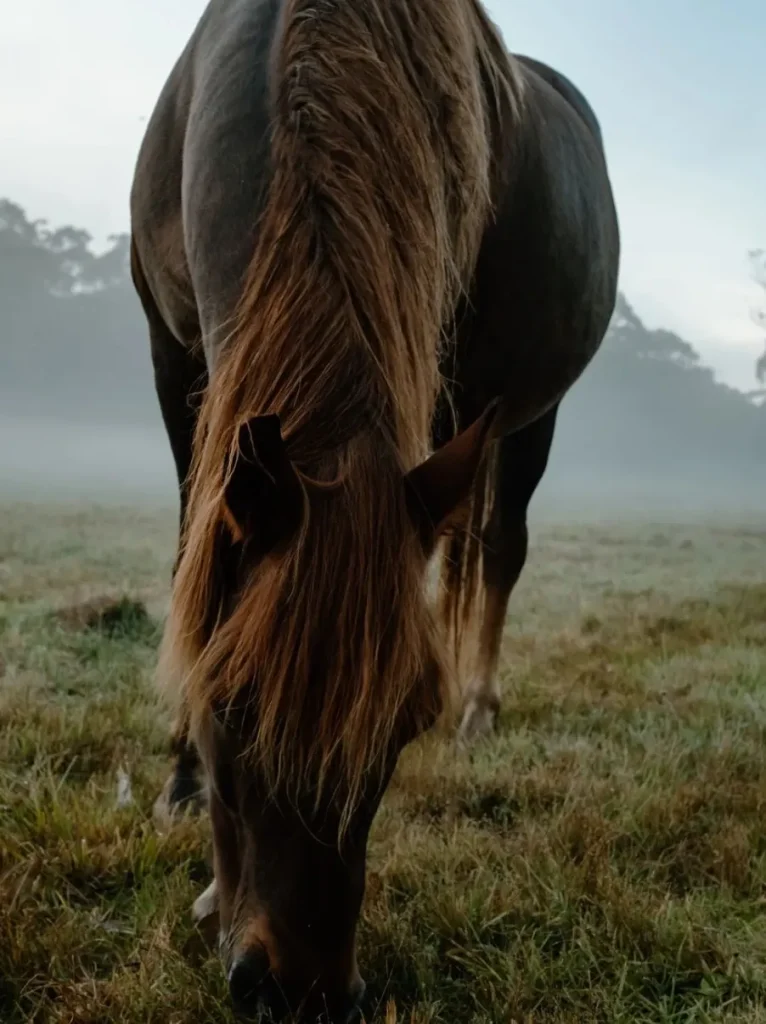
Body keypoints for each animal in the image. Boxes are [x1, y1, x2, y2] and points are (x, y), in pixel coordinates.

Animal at [130, 2, 622, 1015]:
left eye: (406, 720)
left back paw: (482, 708)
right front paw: (181, 779)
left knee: (501, 548)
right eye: (230, 705)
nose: (302, 992)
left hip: (526, 412)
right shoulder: (172, 352)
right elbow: (193, 555)